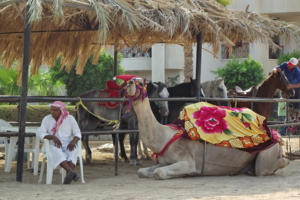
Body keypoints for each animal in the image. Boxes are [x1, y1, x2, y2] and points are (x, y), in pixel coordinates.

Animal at [123, 76, 290, 180]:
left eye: (140, 83)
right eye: (131, 80)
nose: (129, 83)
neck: (165, 137)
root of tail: (274, 134)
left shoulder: (188, 161)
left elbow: (159, 173)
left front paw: (189, 174)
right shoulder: (163, 161)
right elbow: (141, 172)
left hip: (269, 151)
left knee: (266, 167)